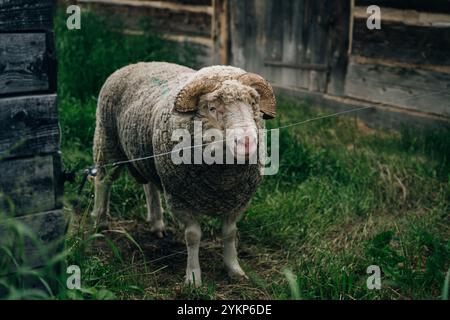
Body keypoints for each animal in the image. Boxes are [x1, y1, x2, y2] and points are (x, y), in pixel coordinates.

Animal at [90, 62, 274, 284]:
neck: (222, 180)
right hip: (107, 141)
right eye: (212, 108)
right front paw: (193, 278)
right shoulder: (180, 199)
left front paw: (234, 269)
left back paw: (156, 224)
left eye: (253, 105)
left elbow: (230, 234)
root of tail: (135, 64)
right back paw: (100, 222)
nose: (247, 143)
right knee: (103, 181)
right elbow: (193, 236)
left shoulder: (238, 200)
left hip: (146, 154)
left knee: (150, 187)